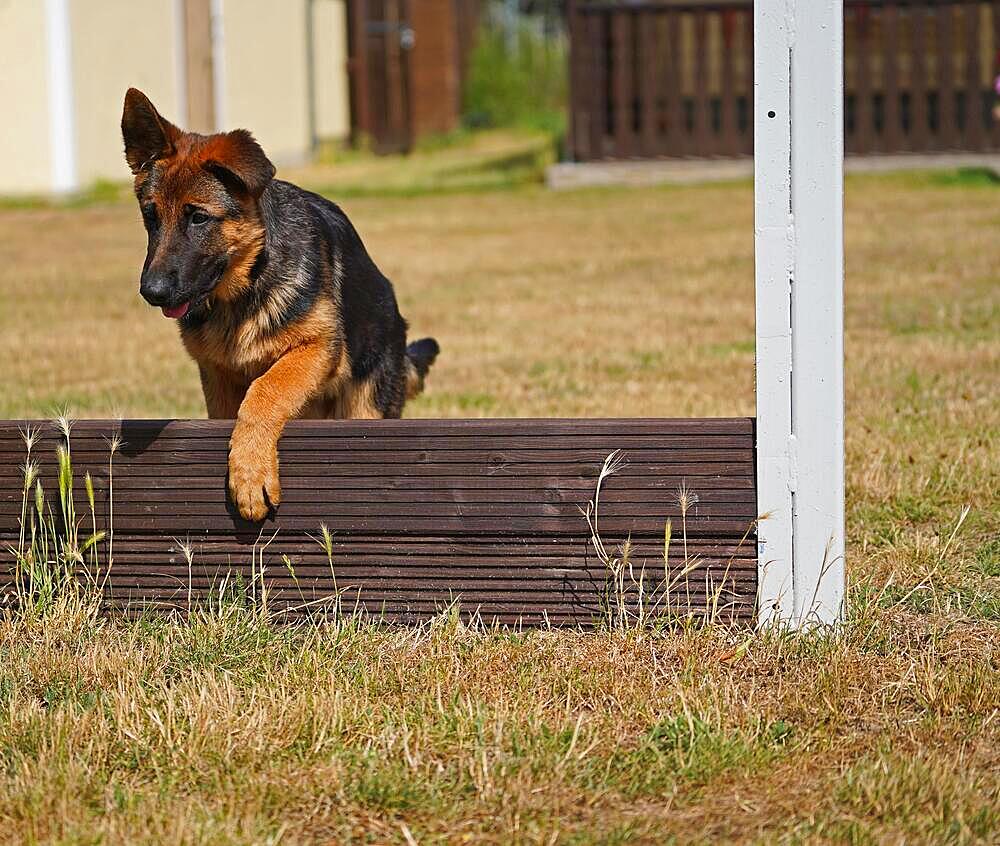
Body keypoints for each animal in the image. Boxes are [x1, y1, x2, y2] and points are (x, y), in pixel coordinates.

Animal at [120, 88, 438, 524]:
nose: (151, 292)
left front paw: (250, 474)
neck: (245, 286)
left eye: (198, 218)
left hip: (364, 406)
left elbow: (265, 388)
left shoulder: (318, 350)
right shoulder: (217, 375)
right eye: (150, 216)